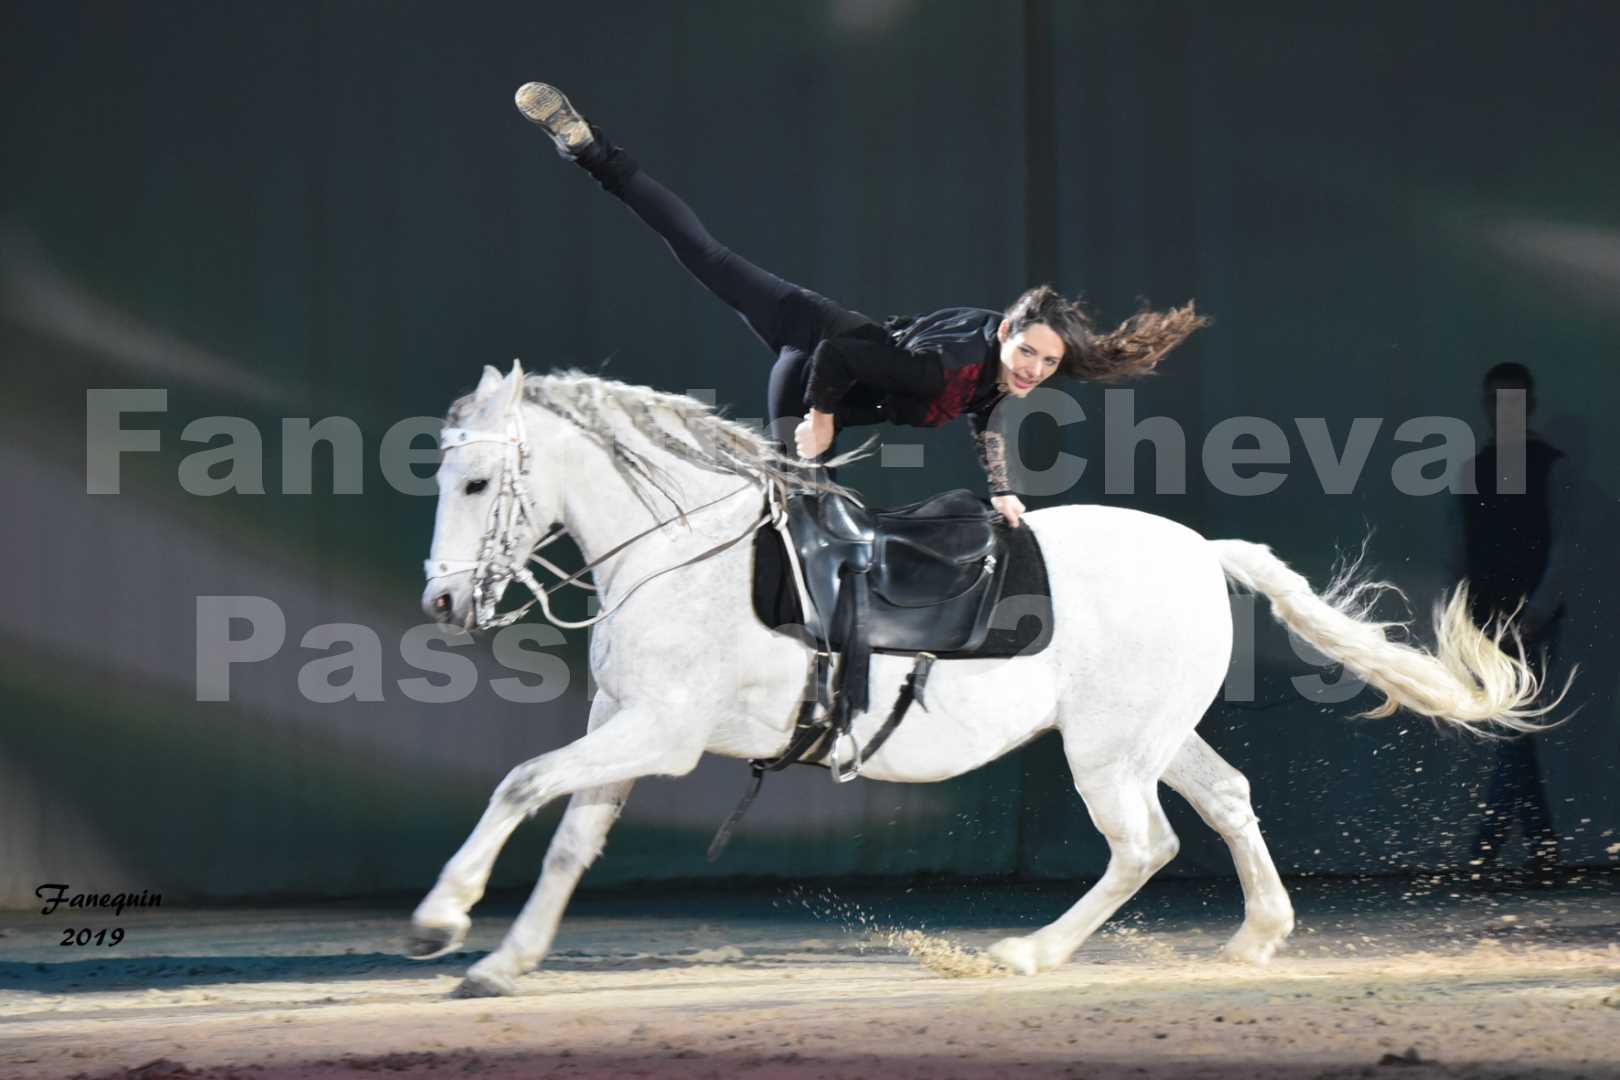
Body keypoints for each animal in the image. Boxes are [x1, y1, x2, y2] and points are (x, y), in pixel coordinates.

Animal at [411, 361, 1561, 997]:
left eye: (476, 481)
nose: (444, 605)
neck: (690, 552)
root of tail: (1203, 550)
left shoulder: (662, 730)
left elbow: (520, 784)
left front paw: (444, 918)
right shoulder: (626, 728)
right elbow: (569, 839)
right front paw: (504, 963)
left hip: (1109, 754)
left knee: (1143, 846)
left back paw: (1024, 956)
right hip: (1147, 736)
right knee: (1227, 801)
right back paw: (1257, 938)